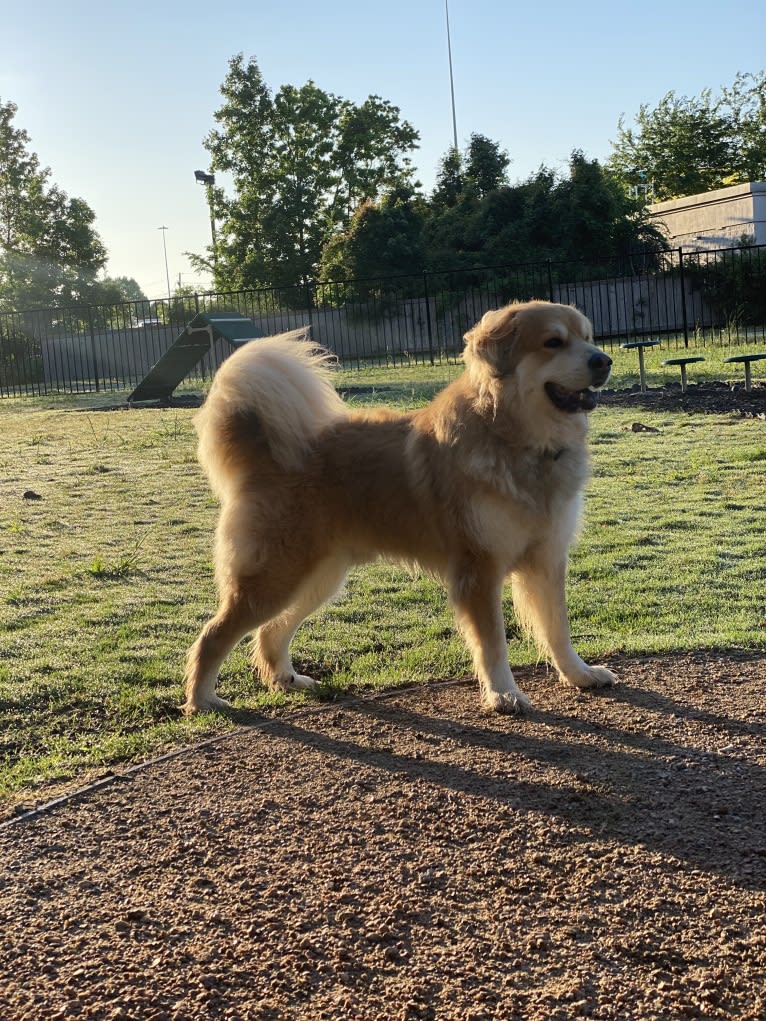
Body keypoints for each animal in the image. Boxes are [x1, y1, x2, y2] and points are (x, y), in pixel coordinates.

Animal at [184, 298, 616, 714]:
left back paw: (287, 680)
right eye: (553, 342)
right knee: (213, 635)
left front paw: (579, 674)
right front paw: (503, 695)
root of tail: (266, 454)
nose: (604, 361)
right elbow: (494, 645)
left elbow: (558, 628)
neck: (517, 440)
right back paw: (203, 700)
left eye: (588, 337)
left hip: (317, 577)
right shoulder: (479, 570)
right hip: (275, 577)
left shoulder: (547, 559)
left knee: (270, 631)